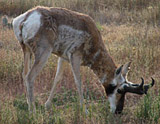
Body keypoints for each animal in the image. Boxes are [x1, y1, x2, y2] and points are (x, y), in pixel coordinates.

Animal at [11, 6, 154, 114]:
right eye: (119, 89)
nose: (118, 111)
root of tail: (26, 17)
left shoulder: (63, 58)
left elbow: (58, 78)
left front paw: (47, 105)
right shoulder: (75, 57)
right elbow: (78, 81)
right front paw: (84, 110)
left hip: (27, 51)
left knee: (24, 74)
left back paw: (29, 103)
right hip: (43, 53)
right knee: (30, 76)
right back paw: (33, 111)